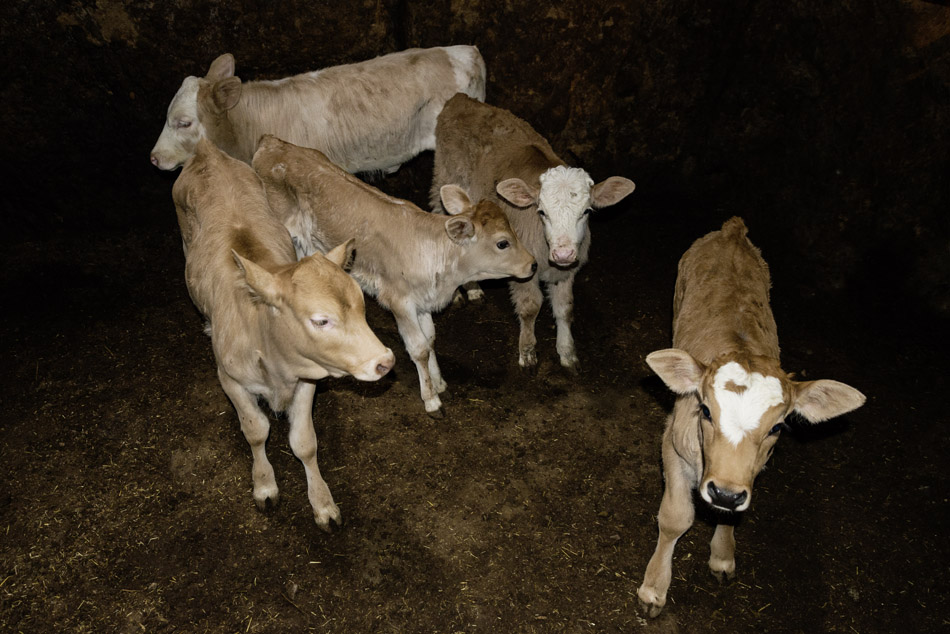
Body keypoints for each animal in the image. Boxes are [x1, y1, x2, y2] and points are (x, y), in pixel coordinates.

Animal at [249, 135, 540, 414]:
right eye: (502, 243)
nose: (533, 264)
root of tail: (272, 142)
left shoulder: (423, 301)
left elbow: (430, 340)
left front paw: (439, 382)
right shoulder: (400, 301)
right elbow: (419, 349)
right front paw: (431, 400)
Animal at [436, 92, 636, 372]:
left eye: (586, 211)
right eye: (541, 211)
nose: (563, 253)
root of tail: (461, 99)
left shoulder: (567, 270)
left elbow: (565, 308)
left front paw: (567, 353)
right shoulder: (522, 266)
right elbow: (531, 307)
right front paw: (528, 352)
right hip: (445, 181)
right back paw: (462, 291)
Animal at [636, 216, 868, 612]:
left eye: (777, 428)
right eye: (705, 411)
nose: (726, 493)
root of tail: (733, 229)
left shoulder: (752, 470)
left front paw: (722, 556)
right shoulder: (672, 445)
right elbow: (674, 518)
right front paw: (654, 588)